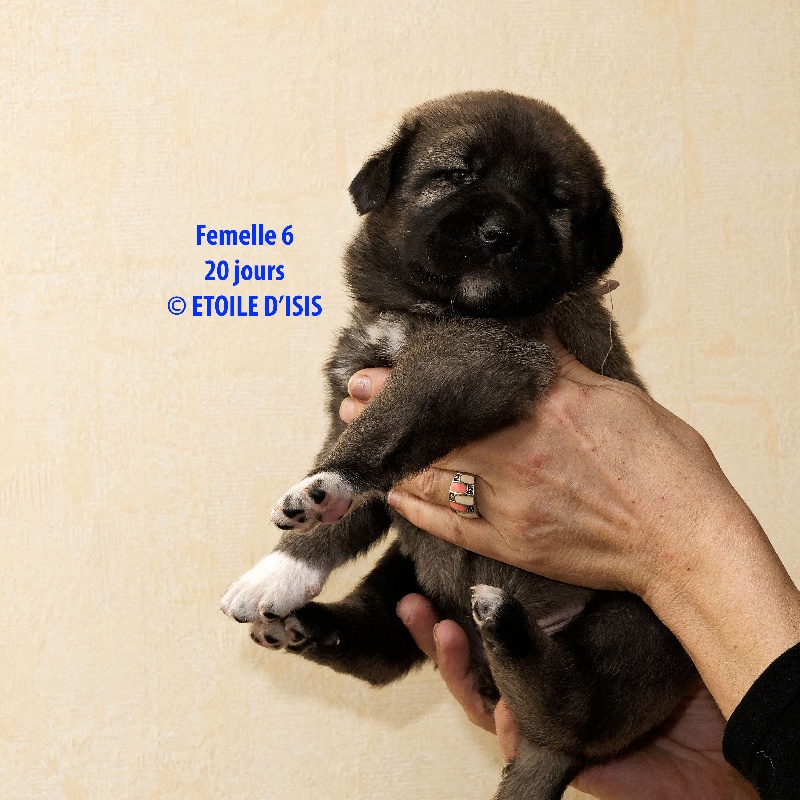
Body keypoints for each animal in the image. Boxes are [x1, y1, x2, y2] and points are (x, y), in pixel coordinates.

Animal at [221, 91, 697, 800]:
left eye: (556, 202)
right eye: (457, 174)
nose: (499, 233)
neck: (424, 310)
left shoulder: (479, 357)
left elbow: (391, 420)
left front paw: (327, 485)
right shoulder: (352, 402)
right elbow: (343, 518)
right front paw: (278, 571)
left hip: (638, 616)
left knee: (576, 708)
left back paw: (509, 629)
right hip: (409, 579)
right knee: (383, 648)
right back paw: (309, 626)